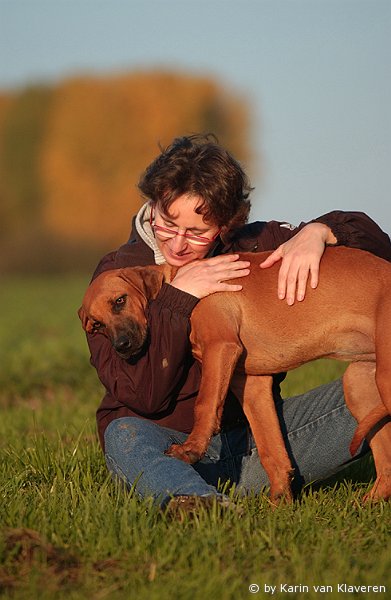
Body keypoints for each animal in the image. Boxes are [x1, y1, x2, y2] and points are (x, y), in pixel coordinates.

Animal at [79, 247, 391, 502]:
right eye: (97, 325)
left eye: (120, 300)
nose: (122, 347)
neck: (182, 286)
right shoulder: (252, 384)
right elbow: (271, 449)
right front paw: (280, 504)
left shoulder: (220, 347)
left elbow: (204, 404)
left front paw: (191, 449)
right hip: (359, 387)